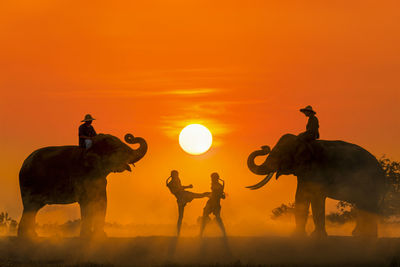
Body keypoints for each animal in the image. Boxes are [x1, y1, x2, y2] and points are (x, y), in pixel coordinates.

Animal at [18, 133, 147, 239]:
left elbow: (102, 202)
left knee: (32, 209)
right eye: (117, 150)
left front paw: (101, 236)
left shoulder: (100, 181)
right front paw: (86, 236)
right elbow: (86, 204)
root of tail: (24, 163)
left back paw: (31, 236)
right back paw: (27, 237)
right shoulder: (82, 177)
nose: (130, 137)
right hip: (30, 184)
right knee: (30, 207)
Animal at [245, 134, 386, 239]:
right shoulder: (304, 174)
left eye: (280, 154)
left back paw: (367, 237)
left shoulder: (318, 170)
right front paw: (298, 236)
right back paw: (359, 235)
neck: (306, 143)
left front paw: (317, 237)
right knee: (362, 205)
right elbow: (300, 196)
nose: (265, 147)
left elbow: (317, 197)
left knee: (368, 205)